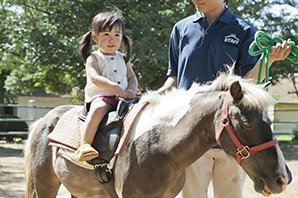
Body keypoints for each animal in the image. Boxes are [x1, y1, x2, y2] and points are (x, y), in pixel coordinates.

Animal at [25, 69, 292, 197]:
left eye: (269, 121)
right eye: (246, 124)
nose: (282, 178)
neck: (159, 147)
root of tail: (44, 121)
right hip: (44, 187)